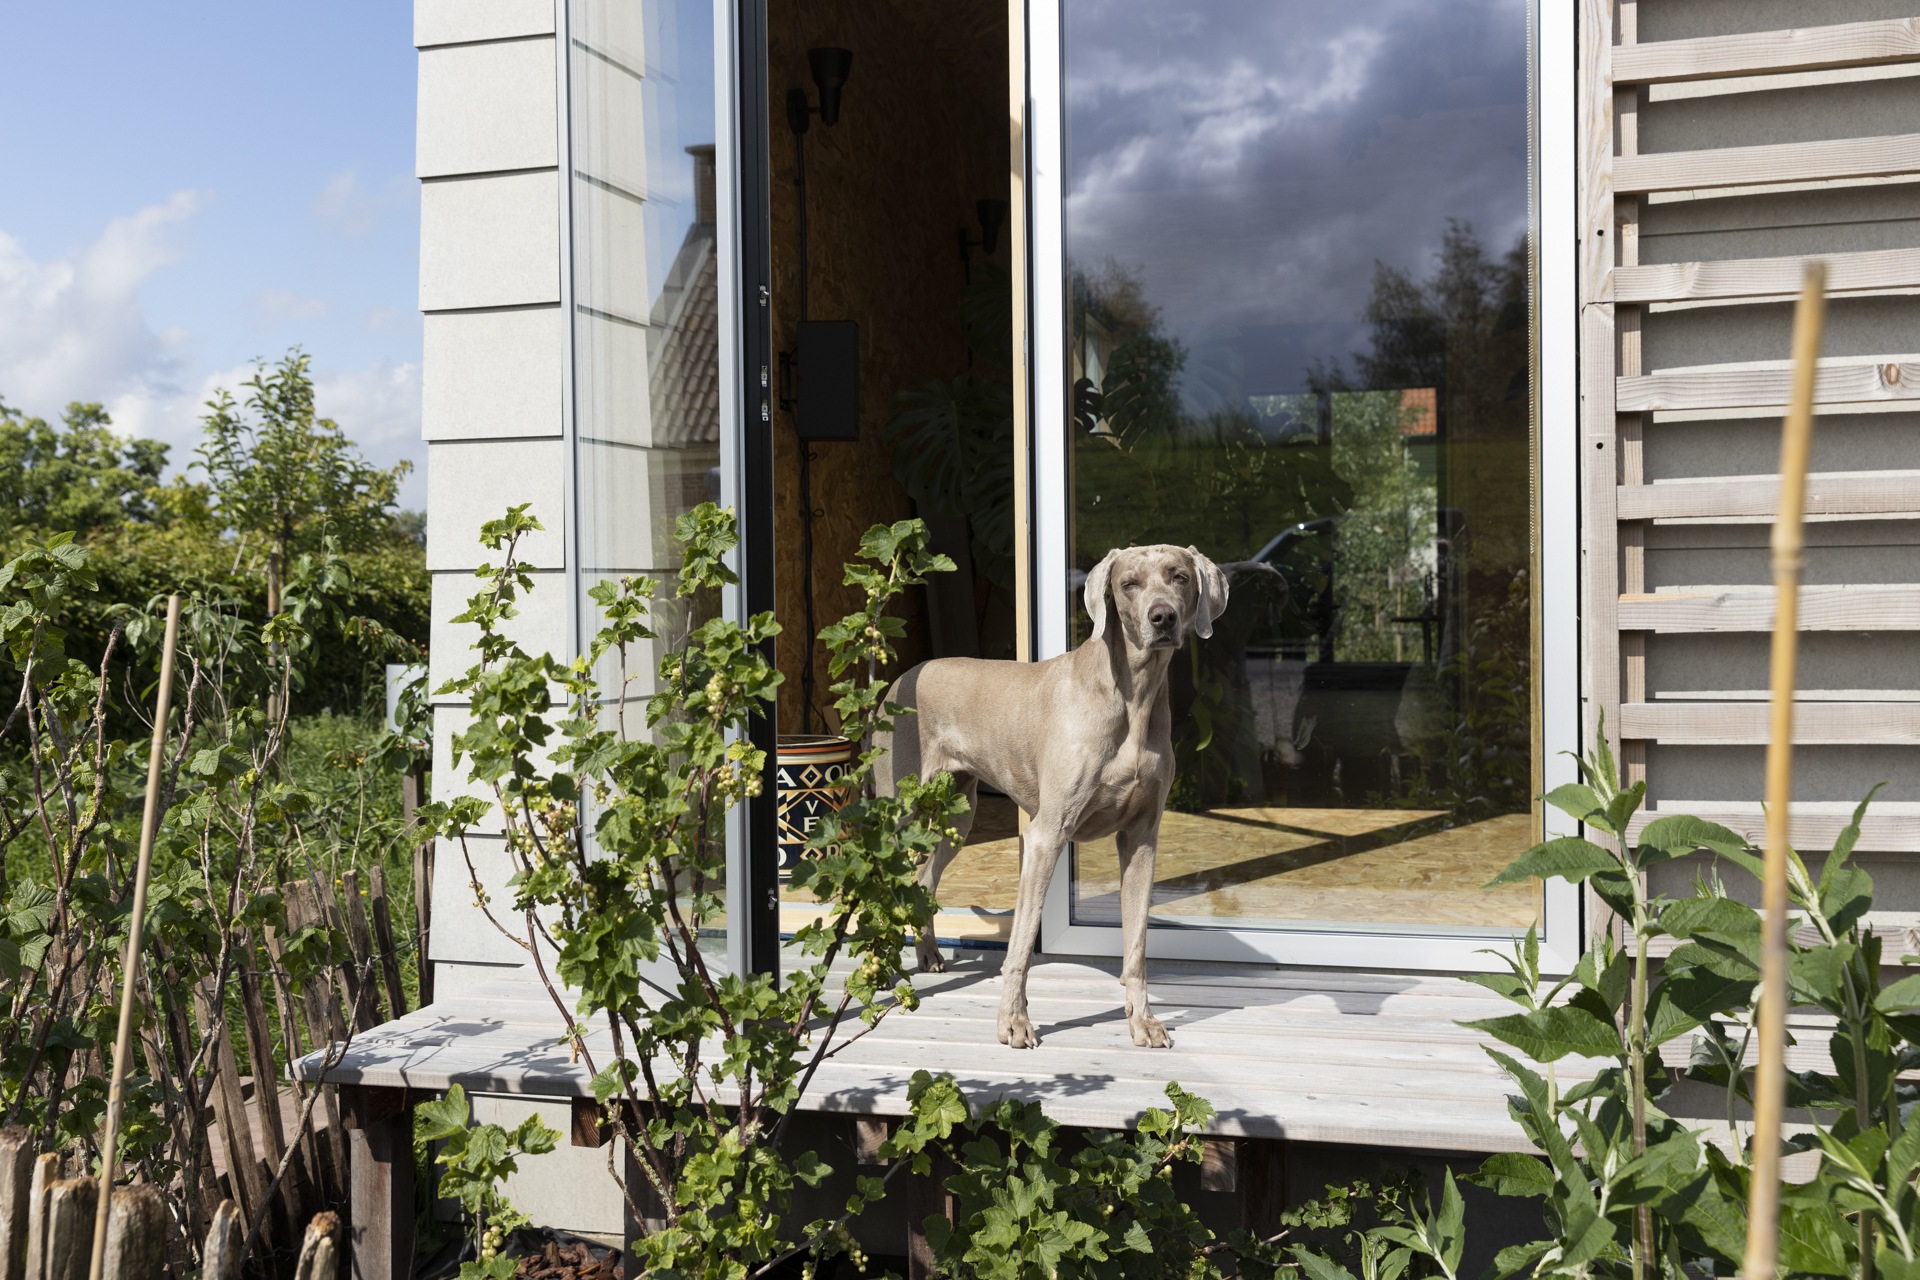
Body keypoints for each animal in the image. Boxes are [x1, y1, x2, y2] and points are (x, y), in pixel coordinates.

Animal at [875, 545, 1228, 1051]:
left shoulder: (1142, 837)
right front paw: (1013, 1022)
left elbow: (1137, 946)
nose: (1162, 618)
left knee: (923, 878)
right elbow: (1021, 943)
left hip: (960, 815)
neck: (1133, 696)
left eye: (1178, 576)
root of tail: (902, 675)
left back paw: (928, 954)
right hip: (898, 812)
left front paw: (1143, 1021)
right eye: (1129, 584)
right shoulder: (1046, 835)